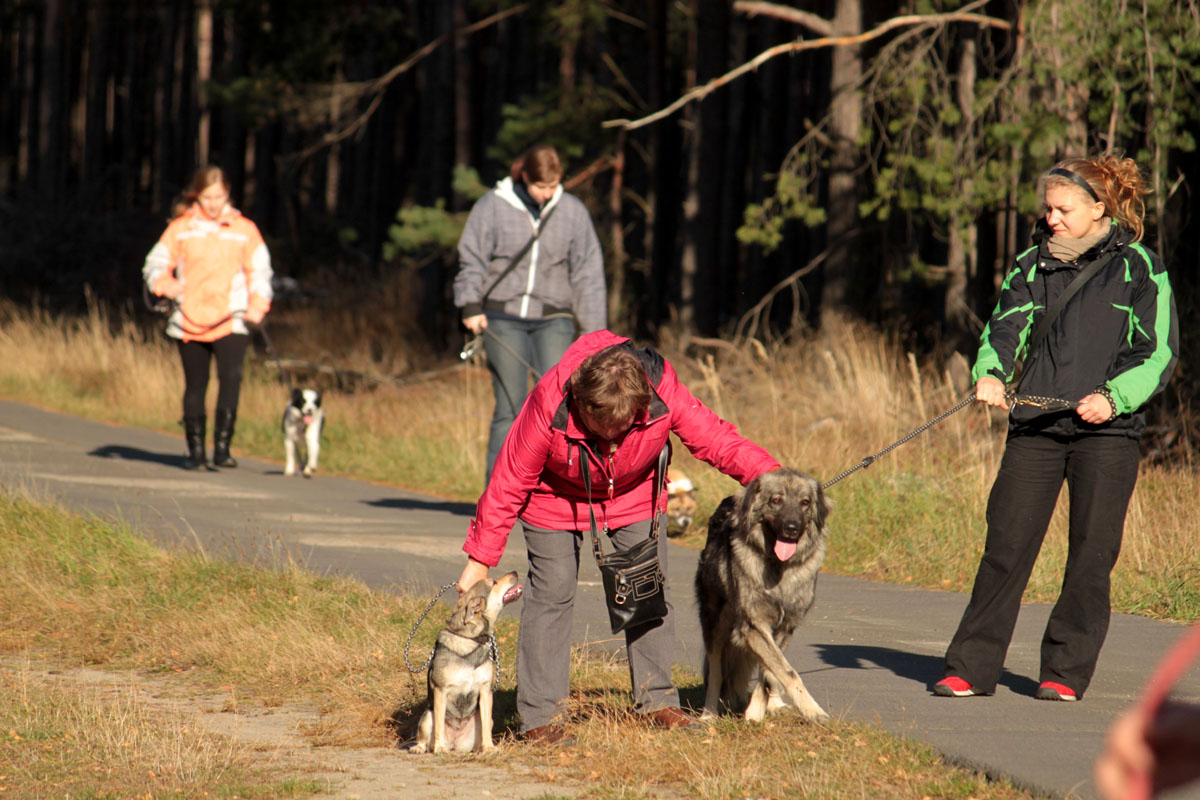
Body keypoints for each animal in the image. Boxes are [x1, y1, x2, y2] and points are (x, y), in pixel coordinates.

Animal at [410, 572, 523, 754]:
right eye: (494, 582)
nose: (515, 572)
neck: (471, 639)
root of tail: (454, 746)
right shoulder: (441, 690)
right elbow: (439, 725)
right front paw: (439, 748)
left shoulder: (485, 691)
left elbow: (486, 727)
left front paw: (489, 748)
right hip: (427, 716)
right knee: (425, 738)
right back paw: (421, 748)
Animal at [694, 468, 832, 723]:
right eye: (776, 500)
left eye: (805, 503)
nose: (792, 528)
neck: (779, 567)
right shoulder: (754, 626)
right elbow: (788, 672)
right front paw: (813, 710)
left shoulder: (784, 628)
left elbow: (772, 673)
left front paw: (756, 712)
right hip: (715, 624)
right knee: (716, 673)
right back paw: (708, 714)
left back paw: (775, 704)